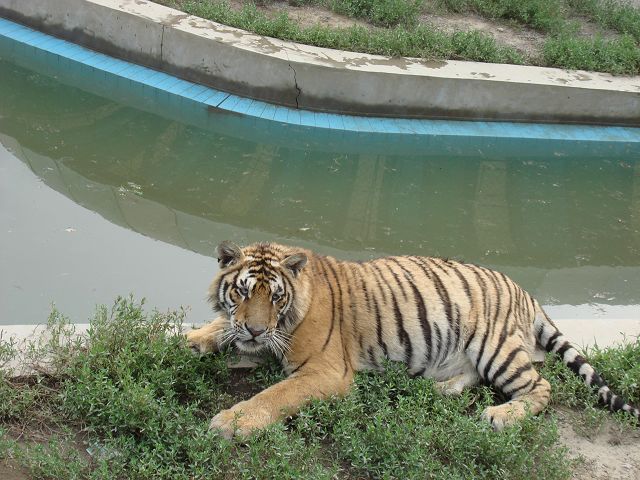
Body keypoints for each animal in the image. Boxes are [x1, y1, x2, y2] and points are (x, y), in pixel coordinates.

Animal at [186, 242, 640, 436]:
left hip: (495, 346)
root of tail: (525, 291)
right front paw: (197, 337)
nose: (255, 330)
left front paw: (229, 423)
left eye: (276, 297)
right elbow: (223, 326)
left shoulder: (326, 371)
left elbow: (273, 395)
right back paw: (442, 389)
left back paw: (501, 415)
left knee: (541, 386)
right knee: (474, 375)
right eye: (243, 291)